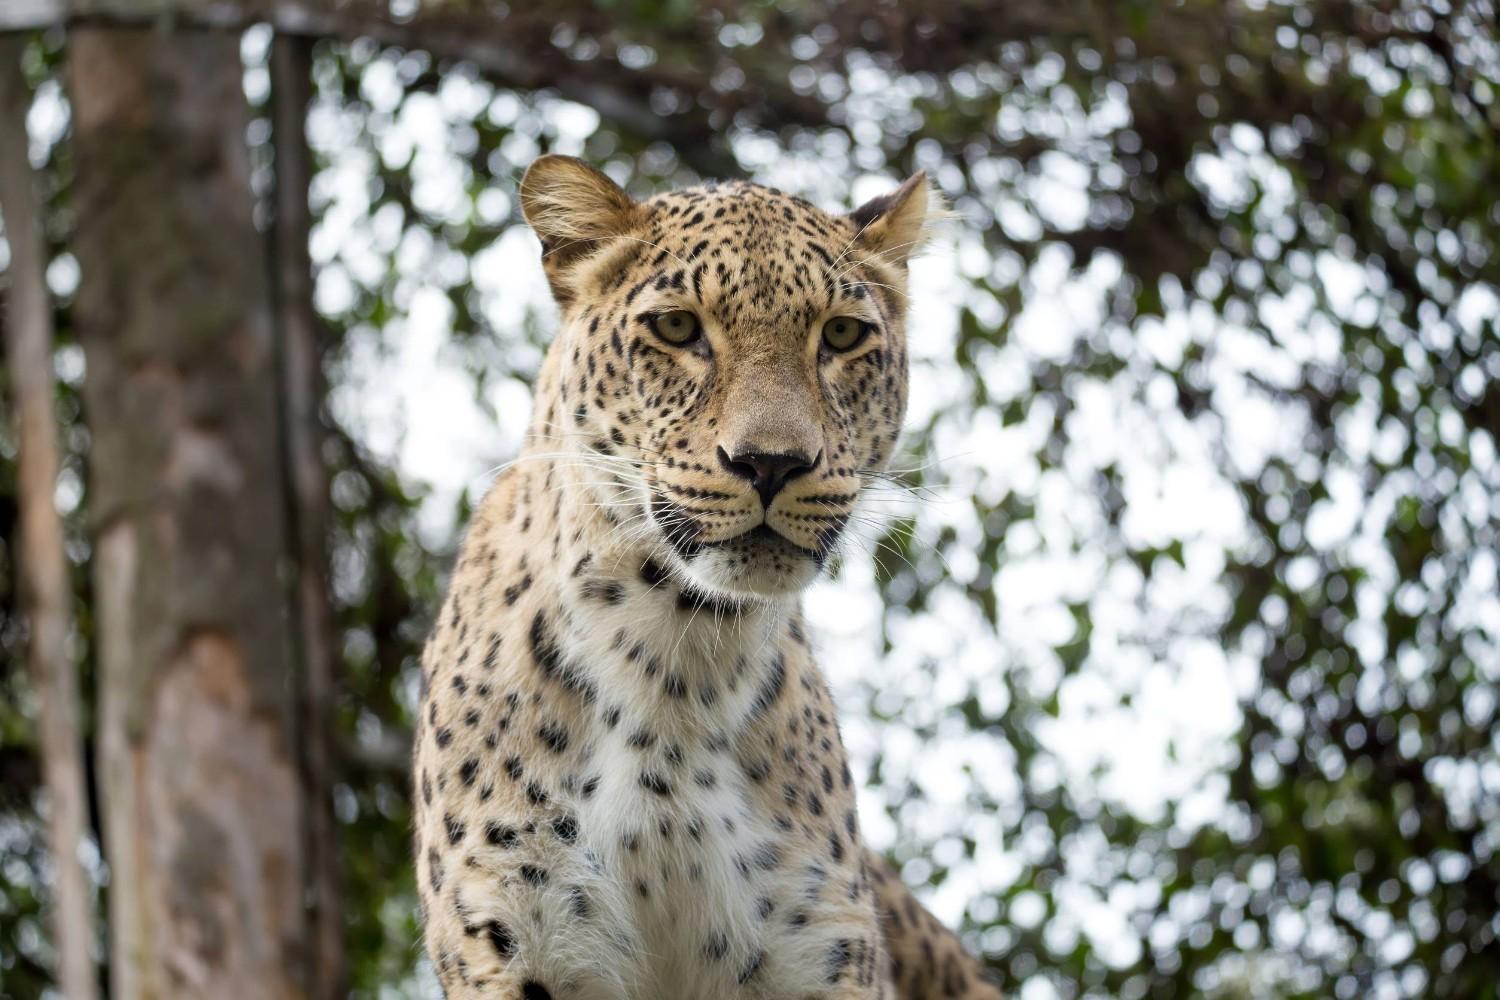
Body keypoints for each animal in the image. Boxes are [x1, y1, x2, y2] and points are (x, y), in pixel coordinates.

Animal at [412, 153, 1004, 1000]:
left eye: (842, 334)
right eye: (676, 328)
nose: (772, 463)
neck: (679, 660)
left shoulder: (818, 949)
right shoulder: (518, 940)